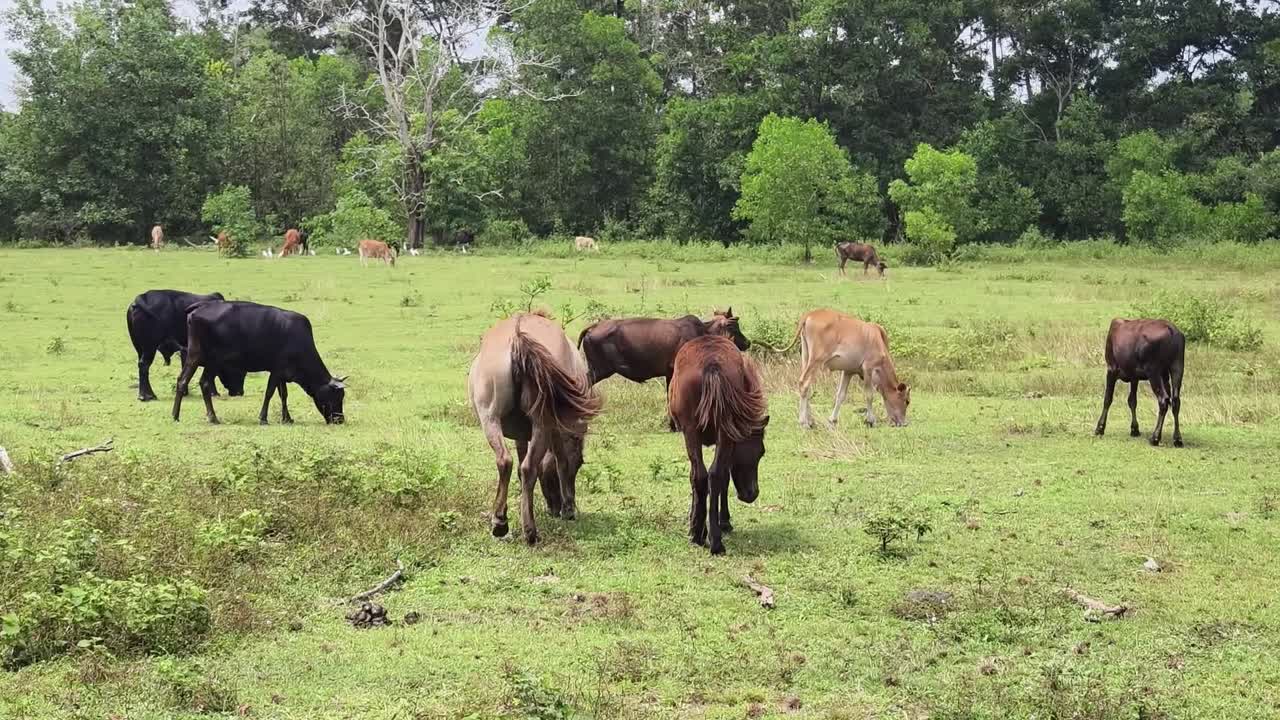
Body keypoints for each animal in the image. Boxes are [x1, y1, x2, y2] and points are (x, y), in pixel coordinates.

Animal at [172, 301, 347, 425]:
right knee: (205, 383)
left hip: (193, 357)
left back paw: (175, 415)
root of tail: (200, 308)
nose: (340, 420)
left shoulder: (282, 373)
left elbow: (283, 394)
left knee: (182, 381)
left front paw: (287, 418)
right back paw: (213, 417)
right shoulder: (276, 370)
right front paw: (263, 418)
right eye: (337, 396)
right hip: (212, 361)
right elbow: (269, 393)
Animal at [469, 312, 602, 545]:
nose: (555, 509)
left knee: (508, 462)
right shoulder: (556, 430)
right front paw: (568, 508)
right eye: (579, 463)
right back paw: (528, 530)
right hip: (542, 424)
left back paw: (502, 522)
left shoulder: (522, 435)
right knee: (528, 467)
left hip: (490, 419)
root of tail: (518, 337)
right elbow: (561, 462)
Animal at [668, 335, 768, 555]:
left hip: (694, 431)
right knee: (711, 475)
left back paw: (701, 534)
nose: (752, 494)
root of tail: (712, 366)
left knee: (703, 475)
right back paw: (712, 539)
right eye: (761, 452)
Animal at [769, 309, 910, 428]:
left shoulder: (848, 371)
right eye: (907, 401)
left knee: (805, 386)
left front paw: (833, 420)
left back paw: (810, 420)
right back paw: (804, 422)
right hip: (816, 359)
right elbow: (869, 395)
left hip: (806, 356)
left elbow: (840, 395)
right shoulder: (868, 368)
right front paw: (871, 420)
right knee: (804, 383)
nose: (904, 423)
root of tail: (810, 314)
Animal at [1094, 319, 1185, 447]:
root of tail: (1171, 328)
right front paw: (1134, 429)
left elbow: (1107, 399)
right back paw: (1177, 439)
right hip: (1177, 367)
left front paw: (1100, 428)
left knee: (1163, 400)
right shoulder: (1134, 377)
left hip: (1154, 372)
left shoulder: (1111, 369)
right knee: (1175, 400)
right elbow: (1132, 401)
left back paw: (1155, 438)